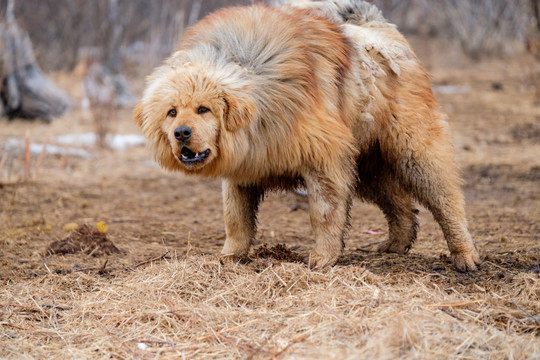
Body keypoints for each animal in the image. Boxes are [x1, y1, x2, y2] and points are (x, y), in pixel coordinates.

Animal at [135, 0, 480, 270]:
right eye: (172, 112)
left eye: (204, 109)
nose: (181, 133)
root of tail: (382, 29)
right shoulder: (242, 169)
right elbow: (236, 219)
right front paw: (229, 257)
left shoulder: (325, 162)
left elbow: (324, 215)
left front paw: (322, 259)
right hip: (368, 167)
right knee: (401, 205)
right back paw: (396, 246)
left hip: (414, 152)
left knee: (447, 201)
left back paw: (465, 256)